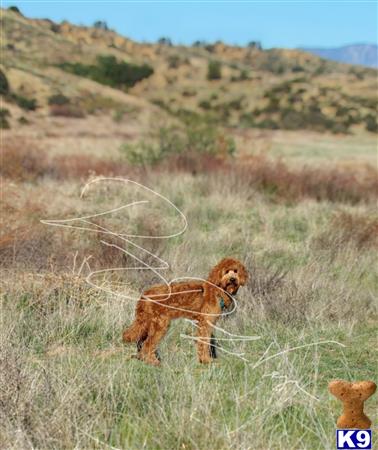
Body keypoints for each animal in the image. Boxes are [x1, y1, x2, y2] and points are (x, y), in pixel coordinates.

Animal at [122, 256, 250, 366]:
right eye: (226, 271)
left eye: (236, 271)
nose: (232, 279)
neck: (218, 290)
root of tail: (146, 294)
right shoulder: (205, 323)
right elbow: (204, 342)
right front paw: (206, 360)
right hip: (160, 324)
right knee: (148, 344)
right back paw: (153, 362)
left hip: (147, 322)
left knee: (140, 340)